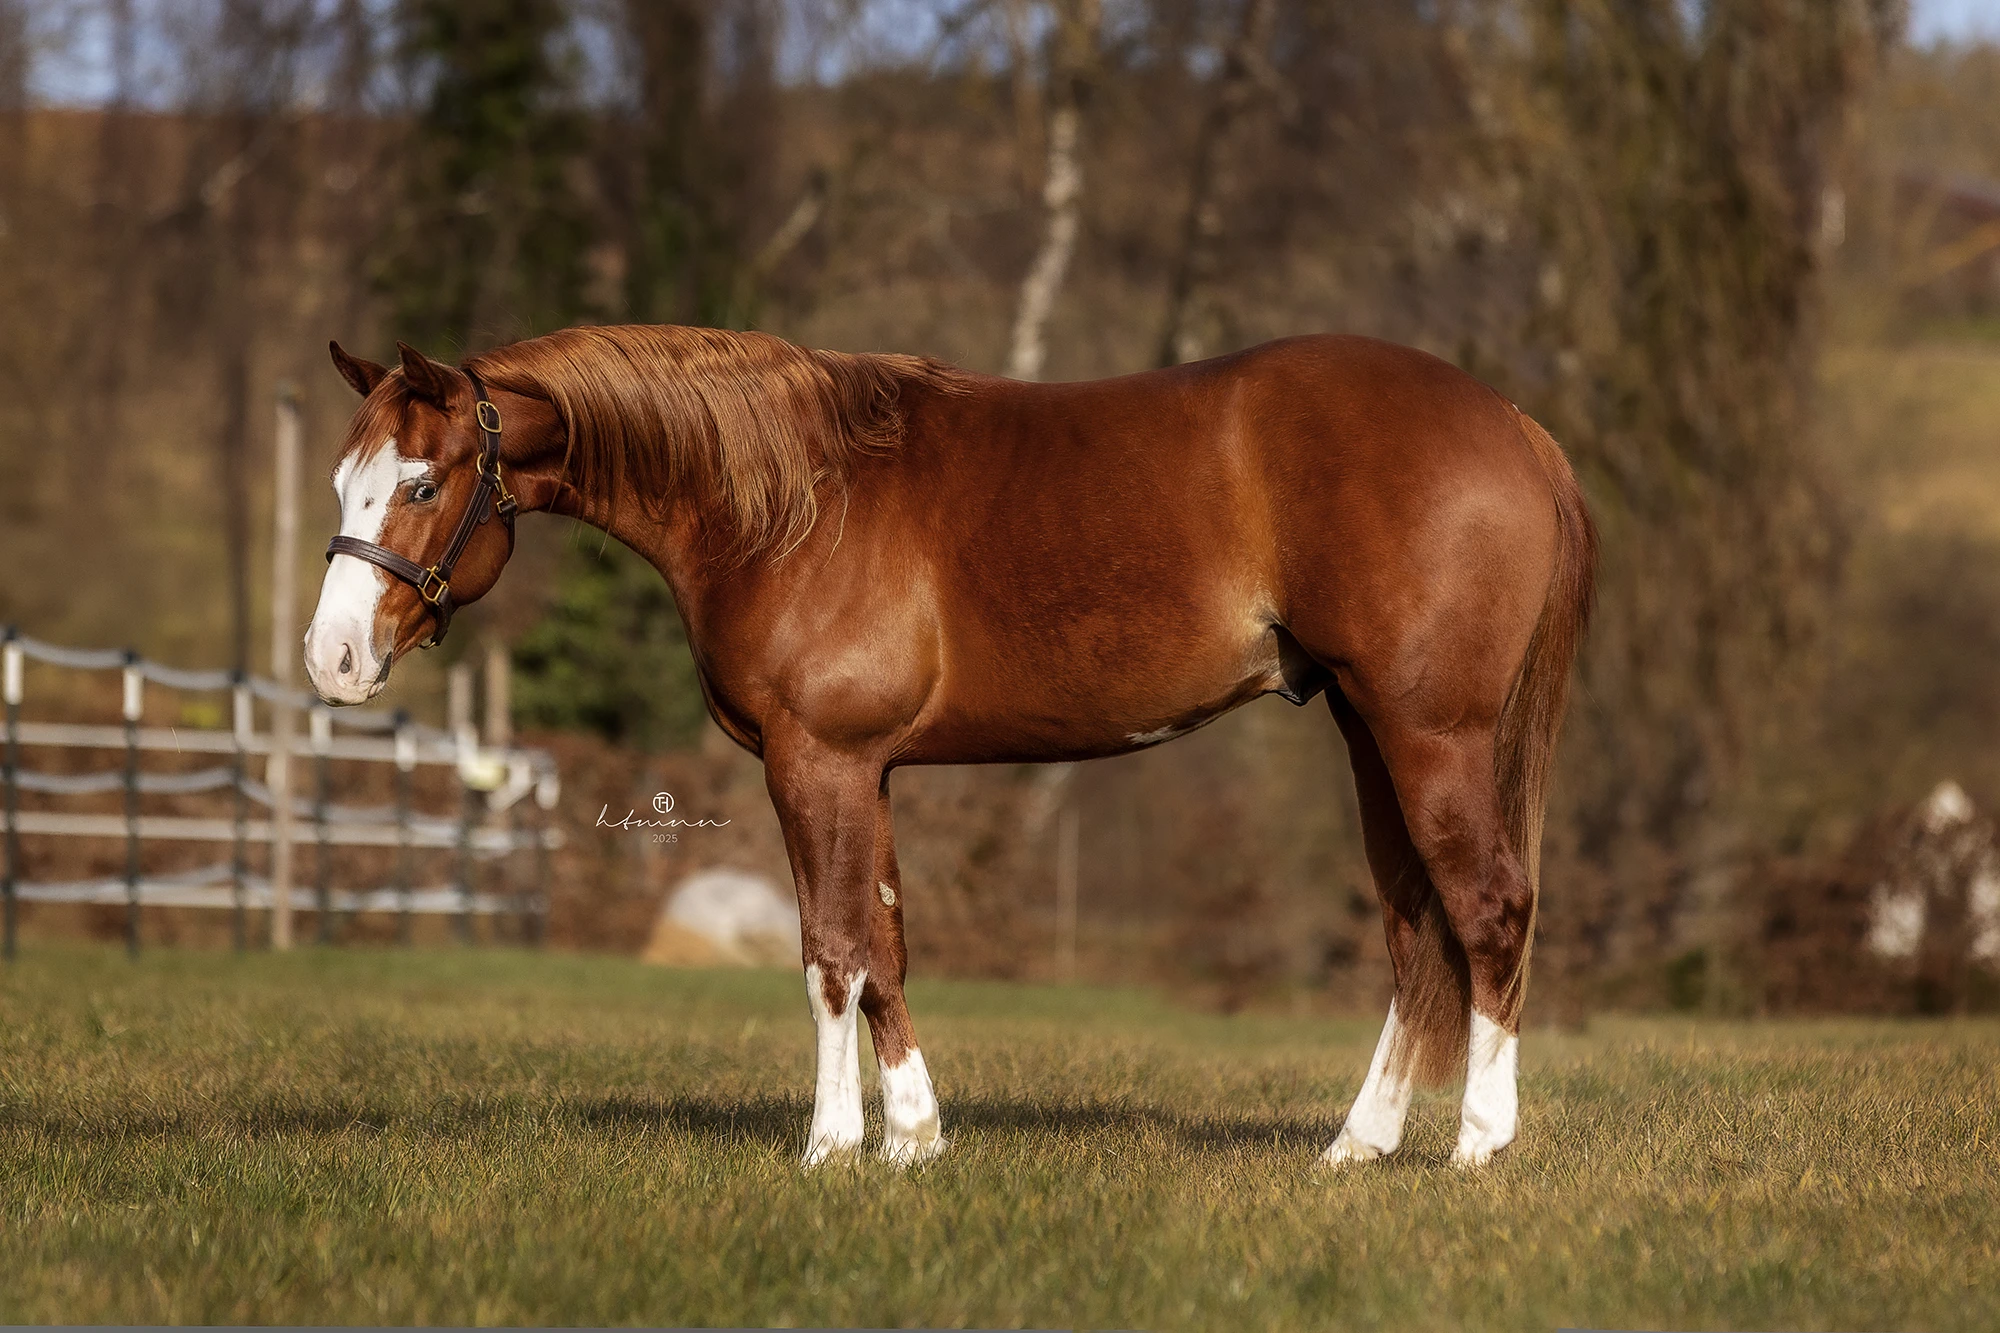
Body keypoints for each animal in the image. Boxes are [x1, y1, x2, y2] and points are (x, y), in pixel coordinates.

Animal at [300, 324, 1592, 1160]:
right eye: (343, 478)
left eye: (420, 483)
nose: (331, 660)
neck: (788, 497)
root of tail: (1517, 427)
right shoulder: (864, 769)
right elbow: (884, 946)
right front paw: (913, 1140)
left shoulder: (813, 760)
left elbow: (829, 950)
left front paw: (830, 1148)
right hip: (1369, 730)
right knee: (1415, 926)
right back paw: (1356, 1146)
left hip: (1427, 733)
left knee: (1487, 909)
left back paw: (1478, 1143)